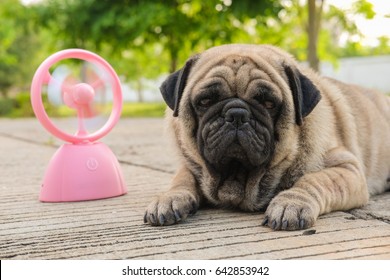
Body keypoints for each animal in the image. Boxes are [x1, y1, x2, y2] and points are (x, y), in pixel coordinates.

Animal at [144, 44, 390, 231]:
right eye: (205, 101)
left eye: (269, 104)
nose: (237, 114)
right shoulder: (191, 164)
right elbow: (182, 178)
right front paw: (169, 198)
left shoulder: (346, 169)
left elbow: (313, 180)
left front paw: (291, 203)